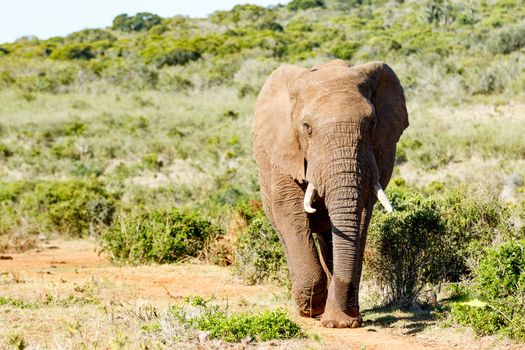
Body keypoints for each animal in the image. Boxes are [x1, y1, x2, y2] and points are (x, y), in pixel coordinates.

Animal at [252, 60, 408, 328]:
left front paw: (341, 323)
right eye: (307, 128)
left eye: (372, 123)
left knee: (328, 238)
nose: (349, 317)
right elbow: (290, 210)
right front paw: (311, 309)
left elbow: (361, 215)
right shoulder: (284, 152)